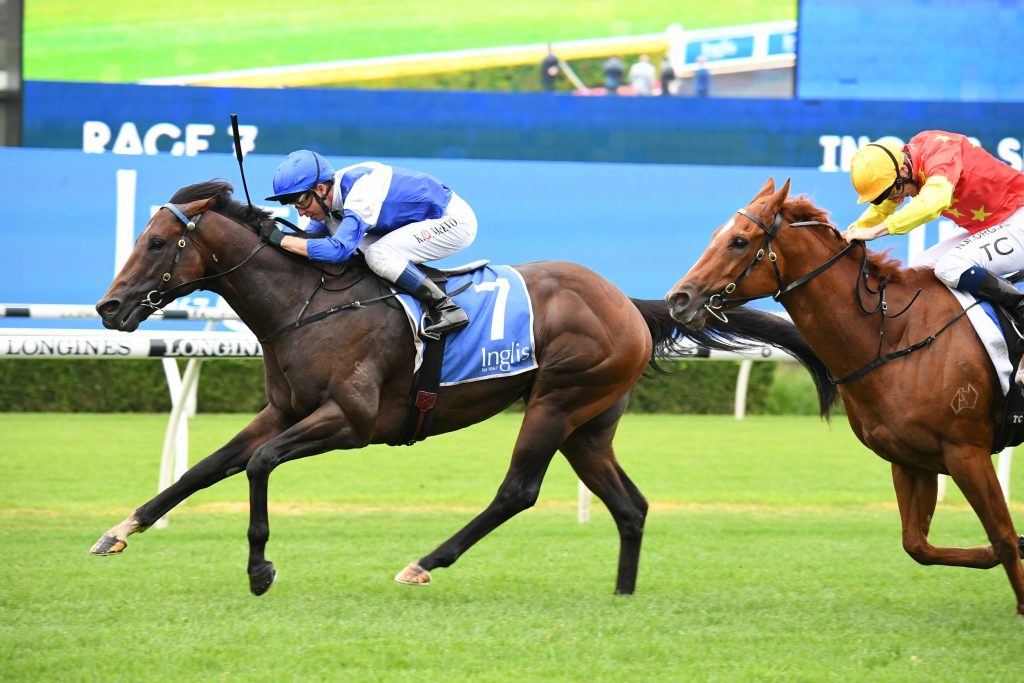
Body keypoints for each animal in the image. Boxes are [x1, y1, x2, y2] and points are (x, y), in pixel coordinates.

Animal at [92, 180, 834, 597]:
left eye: (156, 243)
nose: (108, 307)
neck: (307, 303)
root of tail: (626, 300)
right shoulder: (284, 408)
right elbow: (205, 467)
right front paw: (119, 530)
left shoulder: (350, 422)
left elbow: (258, 464)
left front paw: (259, 568)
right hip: (589, 424)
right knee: (630, 505)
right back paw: (622, 595)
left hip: (557, 400)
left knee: (518, 491)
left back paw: (424, 563)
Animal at [665, 177, 1024, 615]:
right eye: (716, 234)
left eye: (738, 240)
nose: (678, 299)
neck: (895, 334)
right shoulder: (910, 458)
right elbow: (918, 544)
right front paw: (1007, 549)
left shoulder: (966, 452)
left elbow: (1002, 534)